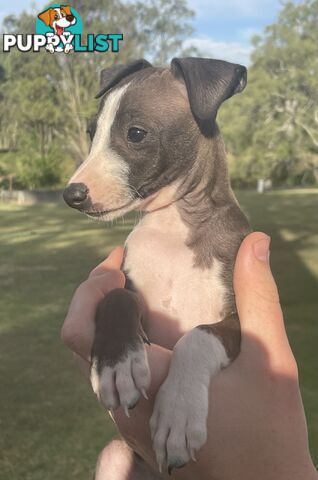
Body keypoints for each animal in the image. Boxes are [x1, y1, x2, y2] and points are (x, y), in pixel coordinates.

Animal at [62, 57, 251, 476]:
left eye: (135, 133)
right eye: (91, 131)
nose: (71, 194)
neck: (173, 230)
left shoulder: (239, 324)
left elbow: (198, 335)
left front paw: (177, 415)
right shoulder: (131, 284)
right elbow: (116, 296)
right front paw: (117, 364)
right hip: (115, 455)